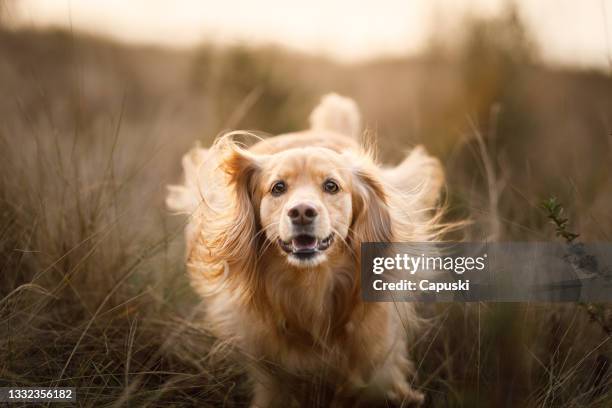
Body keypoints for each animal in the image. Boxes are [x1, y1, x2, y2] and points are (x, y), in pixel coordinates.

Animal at [167, 94, 444, 406]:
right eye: (277, 187)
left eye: (331, 186)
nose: (302, 212)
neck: (310, 286)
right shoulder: (271, 371)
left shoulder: (374, 349)